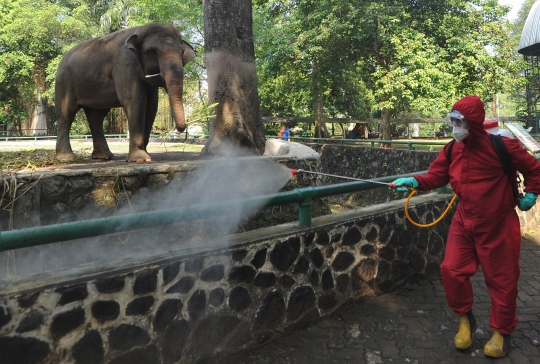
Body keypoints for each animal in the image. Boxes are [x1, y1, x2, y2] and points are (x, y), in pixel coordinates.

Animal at [54, 21, 196, 161]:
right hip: (64, 80)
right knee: (66, 113)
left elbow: (151, 107)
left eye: (182, 52)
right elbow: (135, 101)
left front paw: (146, 155)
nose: (181, 130)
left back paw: (103, 157)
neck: (139, 30)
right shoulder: (125, 64)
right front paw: (140, 159)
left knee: (96, 116)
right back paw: (67, 158)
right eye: (152, 51)